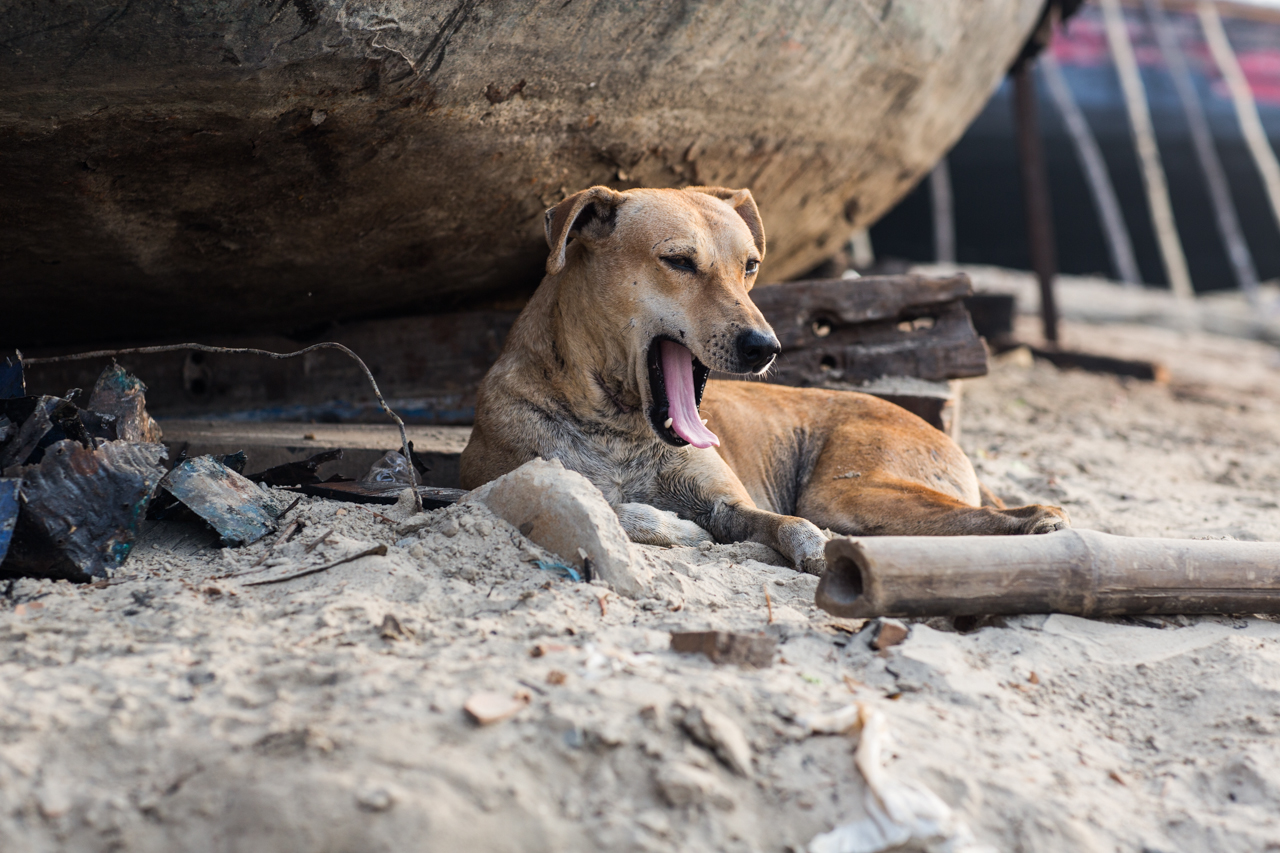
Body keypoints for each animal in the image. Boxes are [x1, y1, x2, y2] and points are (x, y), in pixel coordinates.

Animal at [460, 185, 1070, 571]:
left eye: (750, 265)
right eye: (678, 261)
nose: (765, 347)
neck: (618, 427)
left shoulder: (733, 505)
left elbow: (788, 524)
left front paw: (815, 551)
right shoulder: (499, 485)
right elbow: (610, 504)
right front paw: (668, 525)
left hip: (847, 492)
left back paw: (1043, 520)